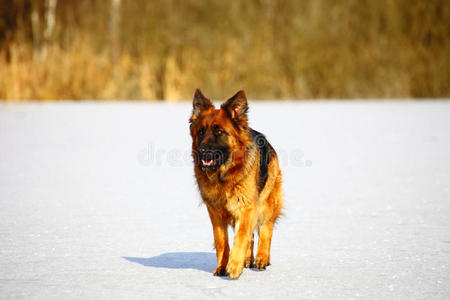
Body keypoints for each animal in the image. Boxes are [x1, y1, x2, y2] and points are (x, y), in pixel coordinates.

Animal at [189, 89, 282, 278]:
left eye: (219, 132)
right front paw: (222, 266)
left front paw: (234, 266)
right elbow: (222, 242)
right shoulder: (216, 213)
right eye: (200, 132)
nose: (202, 150)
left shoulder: (247, 207)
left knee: (265, 229)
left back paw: (262, 258)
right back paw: (248, 259)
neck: (224, 175)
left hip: (266, 203)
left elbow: (241, 236)